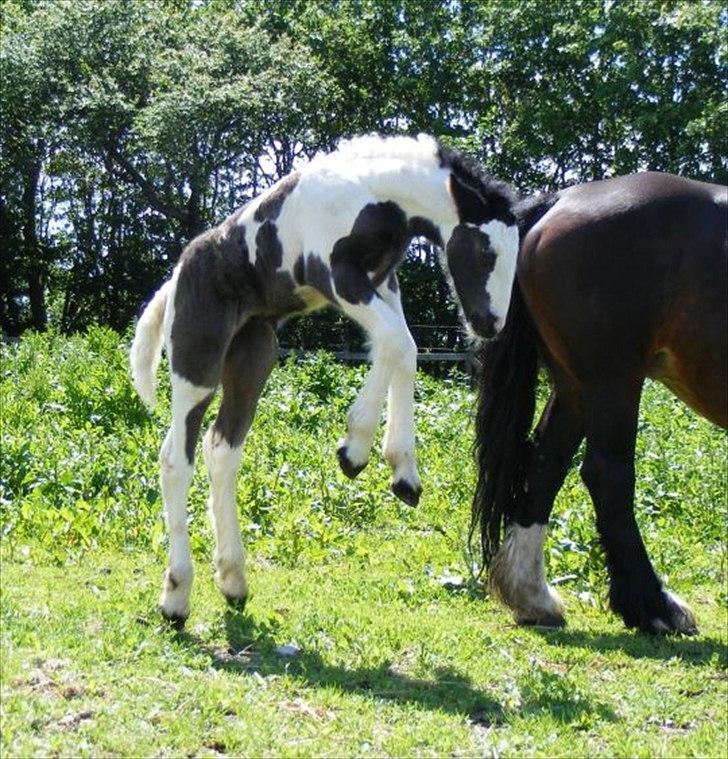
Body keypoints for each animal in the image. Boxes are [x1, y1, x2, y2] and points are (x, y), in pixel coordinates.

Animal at [131, 135, 516, 624]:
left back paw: (232, 580)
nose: (491, 324)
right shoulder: (334, 274)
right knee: (175, 460)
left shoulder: (382, 281)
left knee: (222, 450)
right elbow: (394, 340)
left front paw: (400, 470)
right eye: (487, 251)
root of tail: (177, 276)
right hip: (197, 364)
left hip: (254, 356)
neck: (373, 193)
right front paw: (355, 451)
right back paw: (176, 596)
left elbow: (404, 348)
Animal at [474, 172, 724, 636]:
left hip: (575, 389)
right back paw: (654, 607)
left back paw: (532, 597)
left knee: (545, 465)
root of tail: (560, 200)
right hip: (612, 381)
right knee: (608, 477)